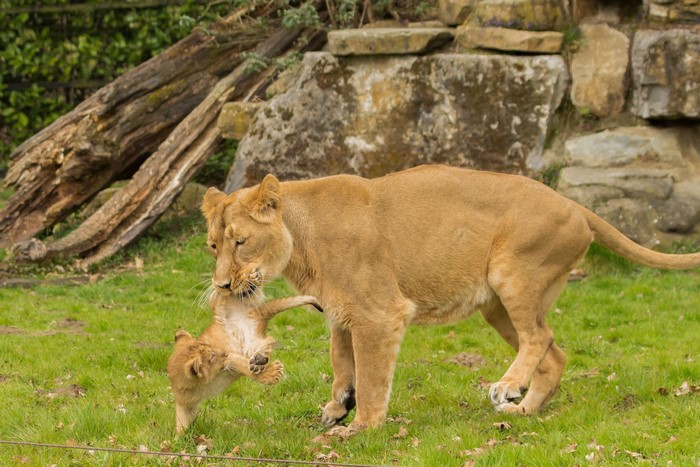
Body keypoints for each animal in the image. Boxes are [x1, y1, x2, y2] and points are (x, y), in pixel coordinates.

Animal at [167, 291, 322, 434]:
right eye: (212, 356)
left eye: (210, 347)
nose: (224, 352)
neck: (202, 385)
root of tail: (257, 311)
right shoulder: (186, 403)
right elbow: (182, 421)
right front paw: (178, 440)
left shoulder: (231, 358)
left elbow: (246, 367)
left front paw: (271, 374)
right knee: (269, 340)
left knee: (268, 340)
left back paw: (259, 360)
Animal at [201, 164, 700, 437]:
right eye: (212, 245)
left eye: (241, 242)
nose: (222, 286)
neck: (301, 244)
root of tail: (575, 206)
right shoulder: (342, 313)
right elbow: (342, 359)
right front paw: (338, 405)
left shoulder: (380, 313)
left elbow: (372, 374)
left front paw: (363, 426)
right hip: (496, 305)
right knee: (554, 352)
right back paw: (523, 409)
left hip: (510, 274)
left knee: (540, 337)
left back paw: (506, 386)